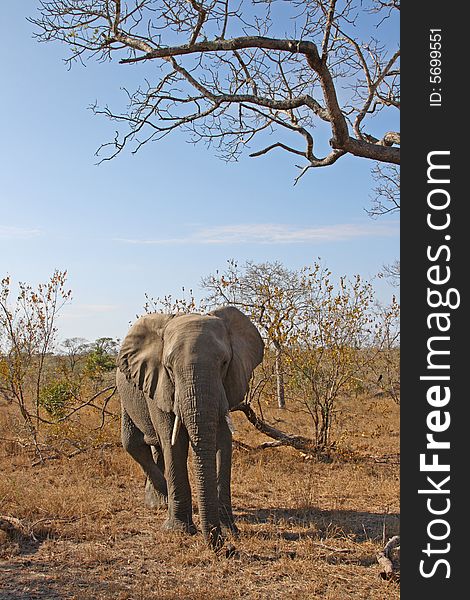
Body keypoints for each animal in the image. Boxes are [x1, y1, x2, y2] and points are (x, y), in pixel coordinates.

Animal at [116, 308, 264, 552]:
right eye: (168, 367)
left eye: (224, 363)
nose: (226, 548)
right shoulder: (160, 384)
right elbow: (173, 443)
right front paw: (179, 530)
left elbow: (222, 442)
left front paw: (231, 531)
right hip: (127, 393)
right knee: (134, 443)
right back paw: (162, 500)